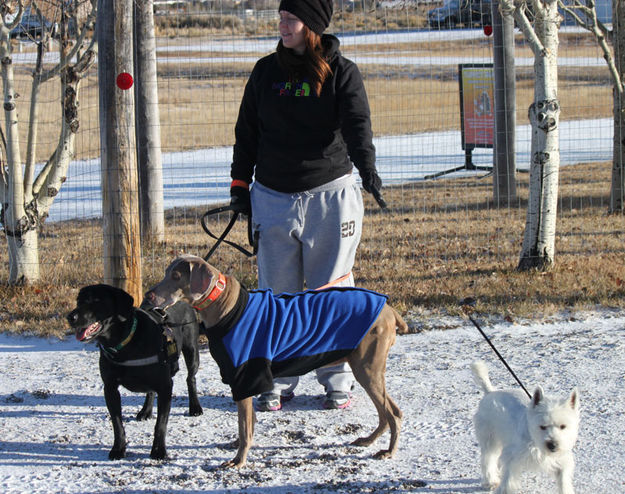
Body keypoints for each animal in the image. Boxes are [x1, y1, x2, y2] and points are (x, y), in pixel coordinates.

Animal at [68, 284, 205, 462]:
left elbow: (161, 424)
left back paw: (195, 407)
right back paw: (146, 411)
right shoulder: (110, 388)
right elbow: (117, 424)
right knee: (150, 391)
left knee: (190, 378)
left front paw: (158, 451)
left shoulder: (165, 386)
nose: (70, 317)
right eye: (79, 301)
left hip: (191, 350)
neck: (125, 343)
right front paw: (118, 449)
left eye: (97, 300)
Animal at [144, 255, 408, 466]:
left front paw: (238, 461)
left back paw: (389, 451)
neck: (223, 304)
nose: (149, 295)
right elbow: (249, 422)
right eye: (167, 273)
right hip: (367, 369)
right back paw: (368, 440)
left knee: (393, 413)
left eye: (176, 276)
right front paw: (236, 446)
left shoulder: (245, 376)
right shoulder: (244, 380)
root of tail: (389, 310)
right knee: (388, 413)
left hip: (367, 368)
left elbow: (245, 426)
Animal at [472, 358, 580, 494]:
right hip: (490, 439)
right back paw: (490, 481)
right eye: (542, 426)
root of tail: (490, 392)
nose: (552, 445)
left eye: (563, 426)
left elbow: (564, 480)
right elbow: (508, 479)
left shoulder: (561, 460)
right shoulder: (512, 457)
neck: (535, 441)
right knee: (488, 460)